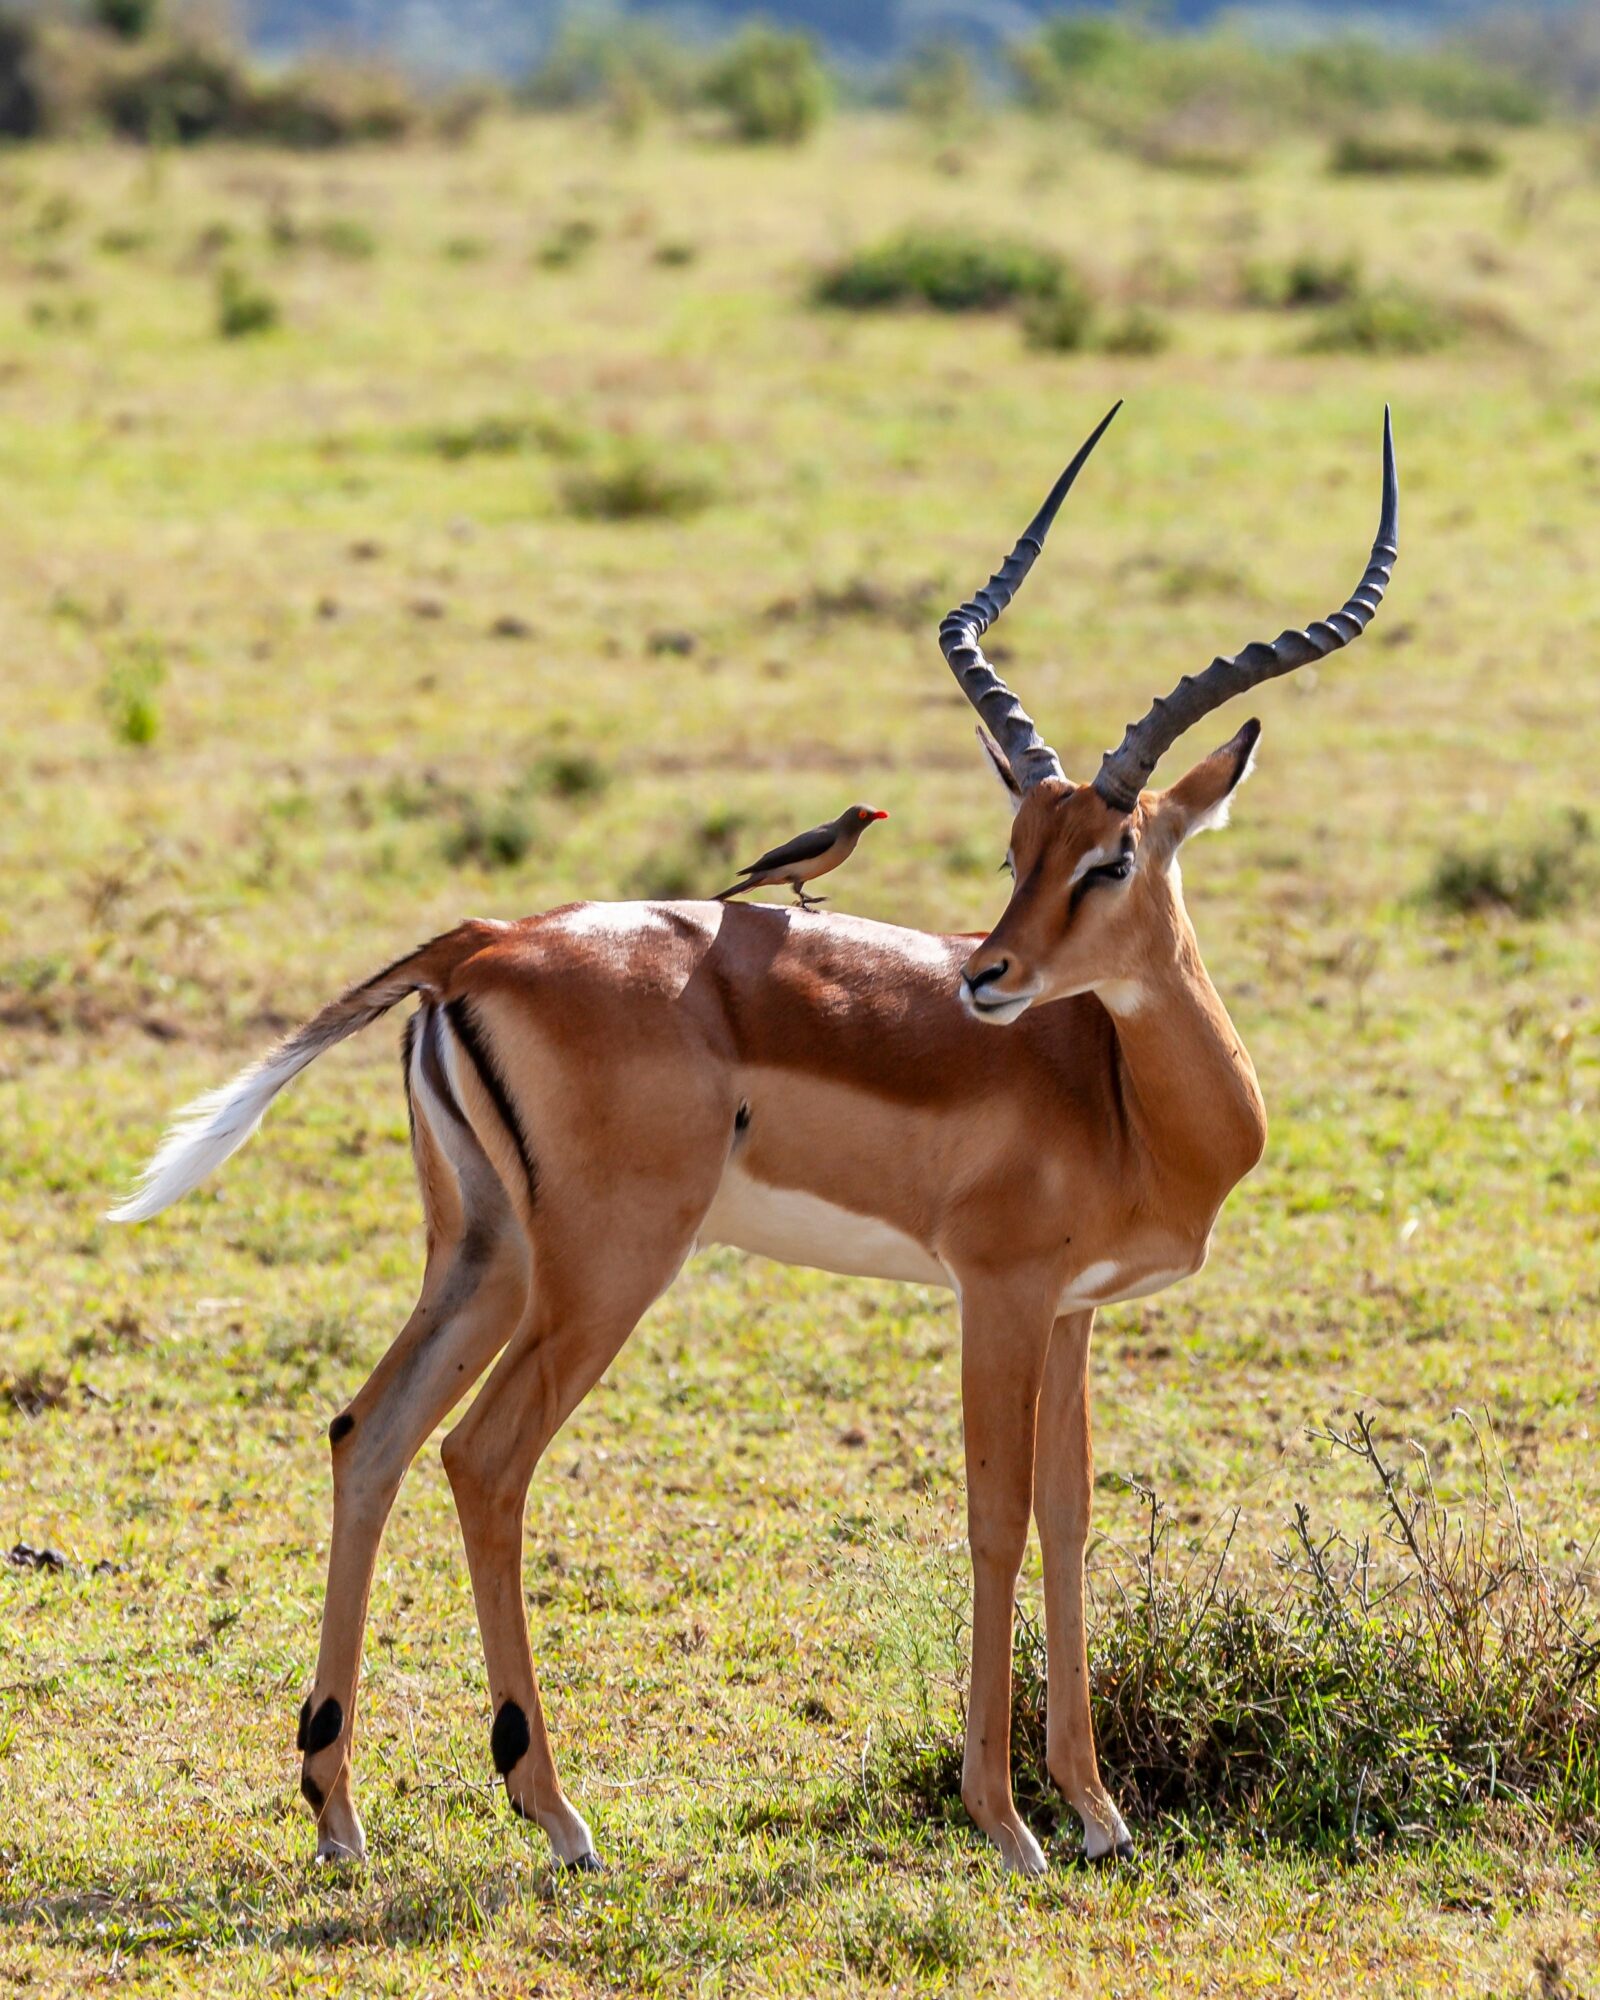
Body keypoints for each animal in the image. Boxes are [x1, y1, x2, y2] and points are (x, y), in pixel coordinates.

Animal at [110, 403, 1398, 1876]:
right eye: (1018, 845)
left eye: (1105, 854)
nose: (988, 978)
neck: (1120, 1093)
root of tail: (480, 945)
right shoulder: (998, 1294)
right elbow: (996, 1517)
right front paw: (1008, 1820)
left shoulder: (1074, 1309)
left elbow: (1071, 1521)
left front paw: (1096, 1810)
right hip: (607, 1268)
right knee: (483, 1459)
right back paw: (556, 1812)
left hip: (484, 1254)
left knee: (366, 1431)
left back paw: (337, 1807)